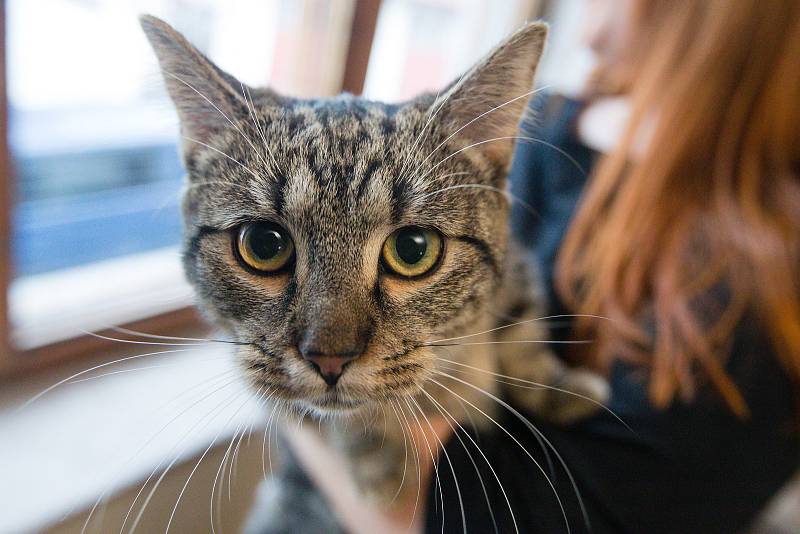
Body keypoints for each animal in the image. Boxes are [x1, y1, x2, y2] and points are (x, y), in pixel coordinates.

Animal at [142, 14, 608, 532]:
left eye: (413, 249)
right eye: (263, 244)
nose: (329, 359)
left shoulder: (519, 272)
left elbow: (522, 334)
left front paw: (559, 388)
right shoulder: (260, 376)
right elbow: (332, 413)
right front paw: (382, 460)